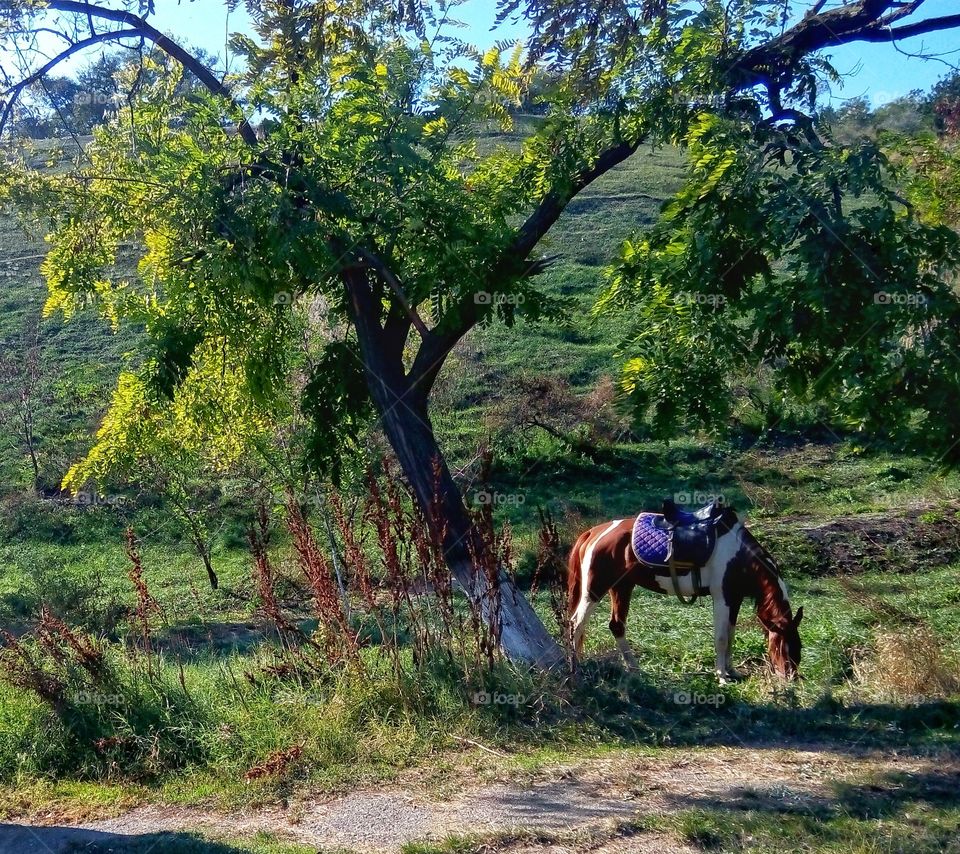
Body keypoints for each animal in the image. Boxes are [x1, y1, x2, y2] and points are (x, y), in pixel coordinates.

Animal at [567, 502, 803, 682]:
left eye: (797, 646)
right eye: (782, 646)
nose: (789, 678)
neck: (740, 556)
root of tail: (594, 532)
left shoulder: (734, 599)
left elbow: (730, 635)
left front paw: (731, 671)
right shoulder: (721, 599)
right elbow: (721, 638)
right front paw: (722, 677)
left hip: (622, 587)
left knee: (616, 626)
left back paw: (634, 668)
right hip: (595, 590)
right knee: (577, 623)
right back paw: (576, 664)